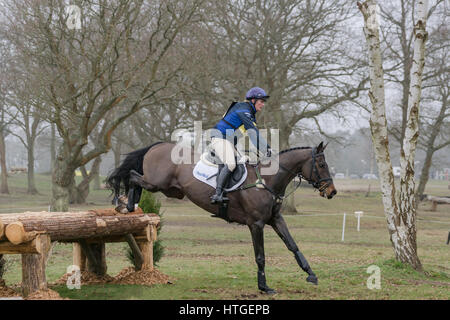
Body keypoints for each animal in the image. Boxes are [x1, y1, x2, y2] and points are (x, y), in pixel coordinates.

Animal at [107, 141, 336, 294]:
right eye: (322, 165)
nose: (332, 192)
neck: (267, 180)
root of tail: (158, 146)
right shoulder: (256, 224)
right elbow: (260, 256)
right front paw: (264, 287)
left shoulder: (275, 219)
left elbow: (292, 245)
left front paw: (311, 273)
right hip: (157, 182)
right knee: (133, 176)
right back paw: (126, 203)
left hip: (170, 189)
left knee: (135, 177)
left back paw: (128, 205)